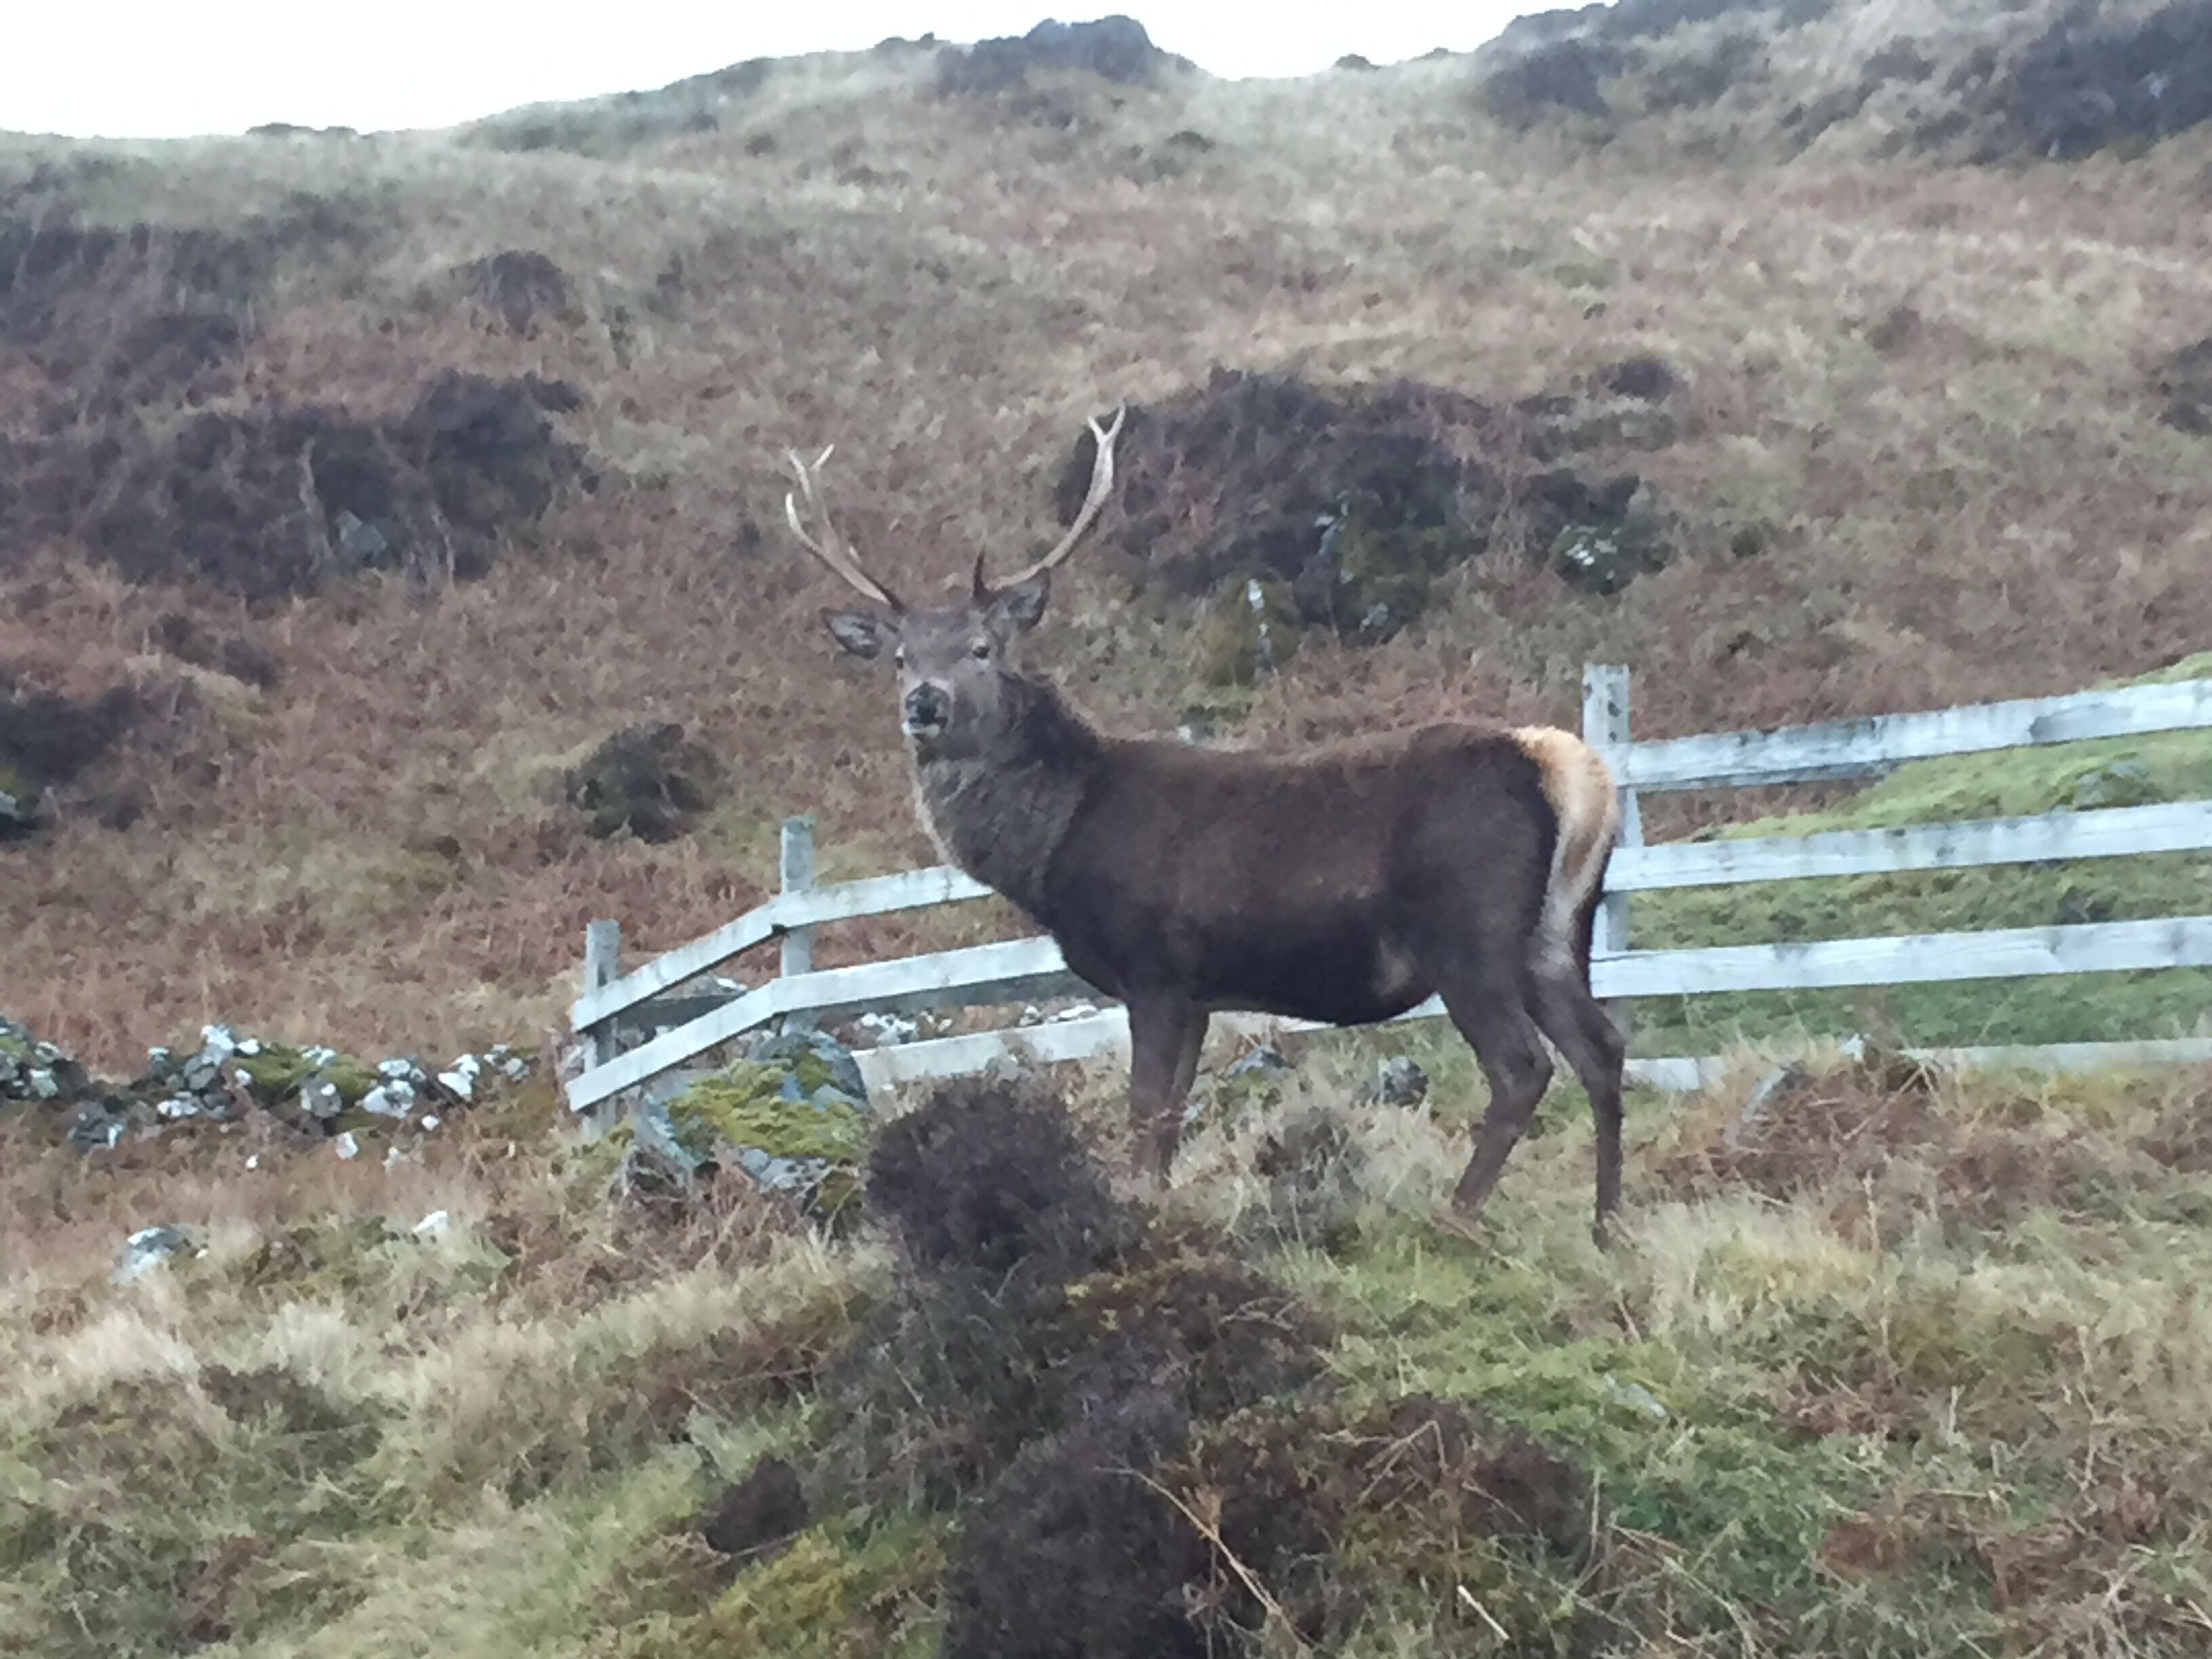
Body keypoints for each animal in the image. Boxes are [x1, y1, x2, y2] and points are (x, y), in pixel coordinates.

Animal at [780, 405, 1630, 1242]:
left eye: (982, 648)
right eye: (898, 658)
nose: (924, 704)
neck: (1054, 848)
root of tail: (1570, 771)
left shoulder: (1154, 968)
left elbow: (1146, 1113)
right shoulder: (1197, 991)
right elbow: (1169, 1120)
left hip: (1468, 930)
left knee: (1523, 1066)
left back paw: (1457, 1215)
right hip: (1555, 935)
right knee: (1604, 1047)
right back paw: (1607, 1223)